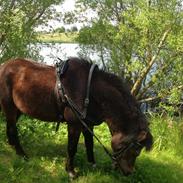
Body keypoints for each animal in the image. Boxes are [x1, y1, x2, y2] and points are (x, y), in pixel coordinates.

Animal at [0, 58, 152, 178]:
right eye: (136, 150)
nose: (129, 172)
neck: (90, 91)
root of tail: (4, 65)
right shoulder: (74, 124)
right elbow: (72, 147)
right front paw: (71, 171)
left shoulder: (88, 124)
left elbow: (89, 144)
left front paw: (92, 164)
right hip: (9, 106)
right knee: (13, 129)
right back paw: (22, 154)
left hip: (18, 109)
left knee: (10, 127)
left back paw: (12, 146)